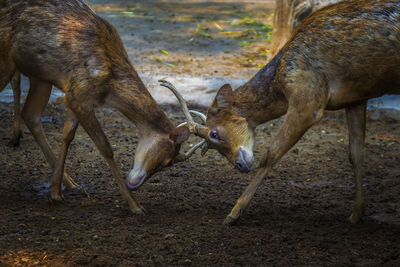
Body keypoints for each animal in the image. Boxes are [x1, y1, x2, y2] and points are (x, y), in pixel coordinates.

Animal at [0, 0, 205, 214]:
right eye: (167, 161)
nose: (135, 184)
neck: (108, 87)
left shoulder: (74, 94)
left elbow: (68, 135)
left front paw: (56, 191)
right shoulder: (79, 94)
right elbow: (105, 146)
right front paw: (134, 204)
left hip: (40, 75)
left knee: (30, 114)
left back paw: (68, 181)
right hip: (7, 60)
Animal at [162, 0, 400, 226]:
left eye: (214, 133)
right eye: (209, 147)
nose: (239, 166)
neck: (281, 81)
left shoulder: (309, 100)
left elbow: (270, 154)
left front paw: (233, 214)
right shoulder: (356, 98)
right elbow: (356, 154)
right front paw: (356, 214)